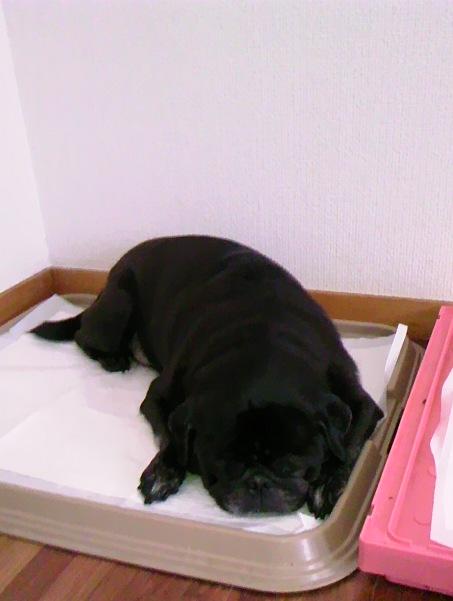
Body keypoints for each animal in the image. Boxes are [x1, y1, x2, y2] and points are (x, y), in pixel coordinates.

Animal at [32, 236, 383, 518]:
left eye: (291, 464)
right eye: (223, 463)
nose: (258, 482)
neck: (262, 337)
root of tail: (108, 280)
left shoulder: (361, 404)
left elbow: (349, 446)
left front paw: (328, 483)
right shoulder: (158, 397)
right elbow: (170, 435)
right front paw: (164, 471)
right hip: (118, 308)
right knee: (82, 334)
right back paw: (112, 358)